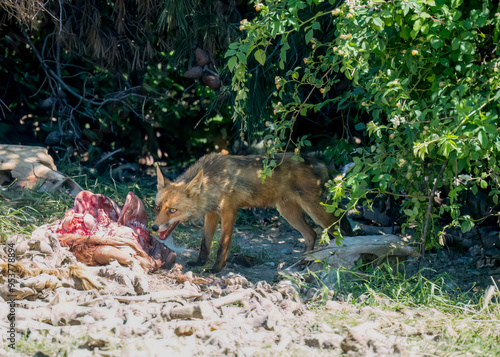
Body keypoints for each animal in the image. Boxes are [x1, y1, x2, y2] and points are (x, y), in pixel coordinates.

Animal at [152, 152, 352, 272]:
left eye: (173, 210)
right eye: (157, 208)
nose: (154, 227)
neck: (213, 178)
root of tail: (319, 162)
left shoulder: (229, 211)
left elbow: (222, 245)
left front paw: (216, 269)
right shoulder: (212, 213)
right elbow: (205, 244)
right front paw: (200, 263)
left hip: (317, 212)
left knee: (341, 232)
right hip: (288, 213)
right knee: (311, 234)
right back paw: (303, 263)